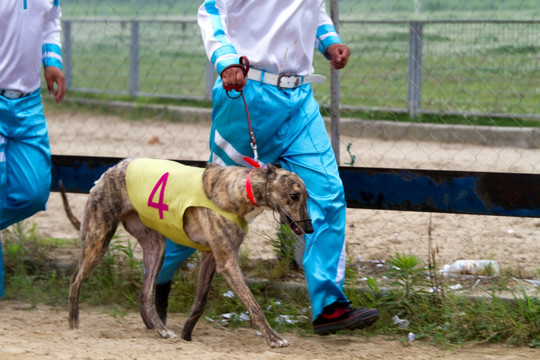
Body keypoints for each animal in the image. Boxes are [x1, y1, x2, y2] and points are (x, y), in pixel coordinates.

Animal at [60, 158, 312, 348]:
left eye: (307, 196)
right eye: (294, 196)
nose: (310, 229)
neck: (241, 190)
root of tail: (106, 173)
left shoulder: (211, 257)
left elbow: (200, 302)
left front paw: (186, 335)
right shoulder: (227, 262)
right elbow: (254, 305)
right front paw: (274, 339)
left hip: (155, 246)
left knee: (146, 294)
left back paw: (162, 331)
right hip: (98, 239)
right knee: (74, 279)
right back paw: (73, 323)